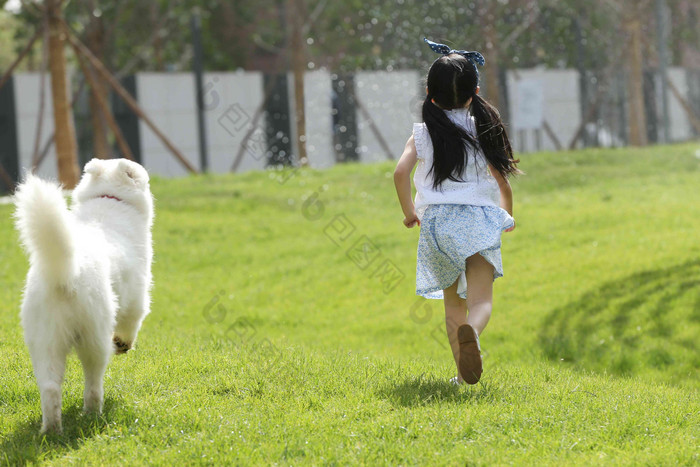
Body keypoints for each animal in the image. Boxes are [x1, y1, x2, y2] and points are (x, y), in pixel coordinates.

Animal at [13, 158, 153, 436]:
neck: (110, 199)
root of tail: (65, 274)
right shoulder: (138, 296)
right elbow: (132, 322)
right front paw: (124, 344)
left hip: (43, 340)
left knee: (50, 388)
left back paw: (51, 430)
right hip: (93, 335)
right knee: (93, 382)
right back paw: (91, 414)